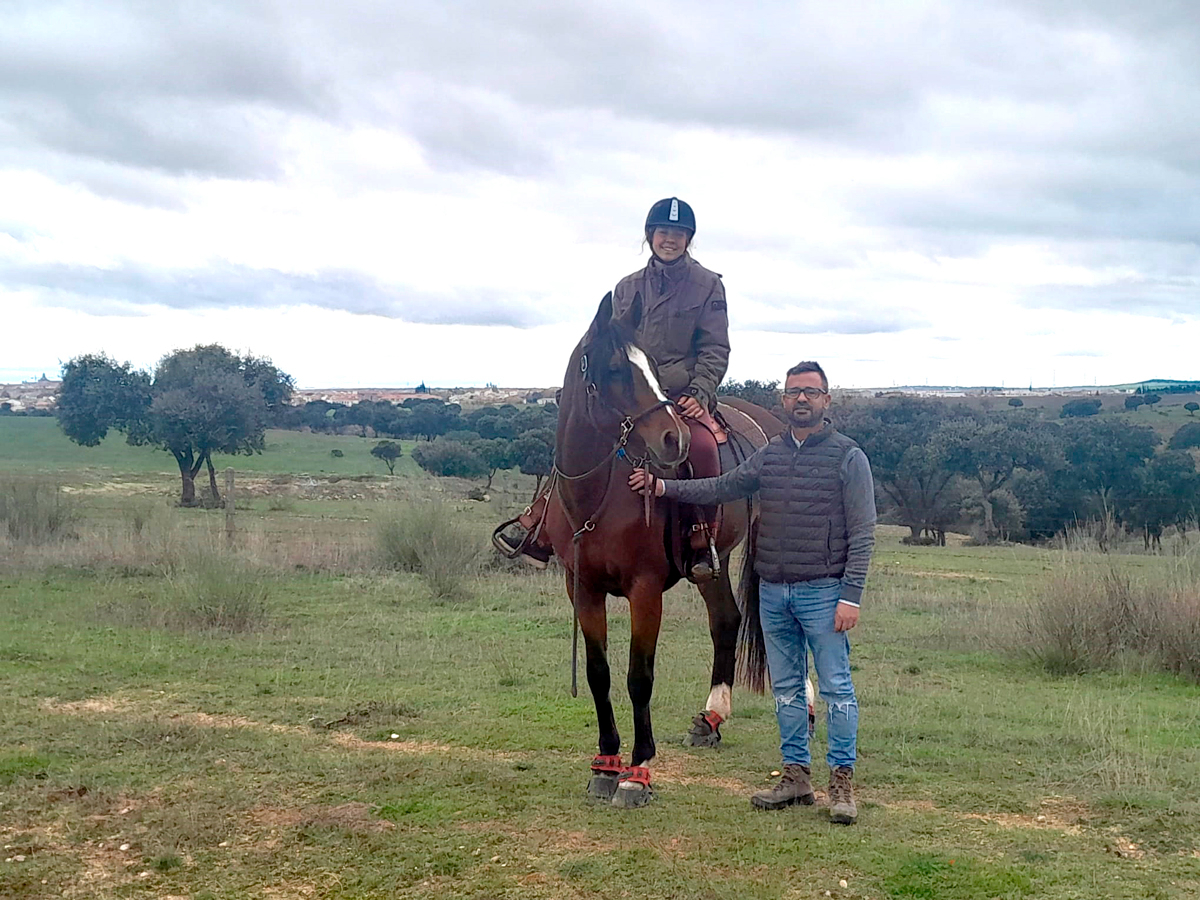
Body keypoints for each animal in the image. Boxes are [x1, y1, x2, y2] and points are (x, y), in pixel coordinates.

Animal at [539, 290, 784, 808]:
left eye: (650, 365)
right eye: (615, 368)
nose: (676, 438)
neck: (597, 495)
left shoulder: (645, 590)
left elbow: (639, 678)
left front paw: (638, 771)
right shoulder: (582, 590)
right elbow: (599, 673)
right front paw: (605, 764)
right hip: (711, 566)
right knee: (726, 620)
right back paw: (709, 720)